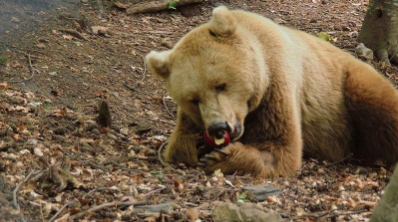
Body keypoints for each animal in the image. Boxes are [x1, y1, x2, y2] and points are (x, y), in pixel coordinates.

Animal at [145, 6, 398, 178]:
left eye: (221, 85)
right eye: (193, 99)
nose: (219, 127)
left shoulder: (277, 86)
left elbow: (281, 148)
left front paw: (220, 156)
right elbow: (176, 144)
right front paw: (197, 145)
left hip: (348, 87)